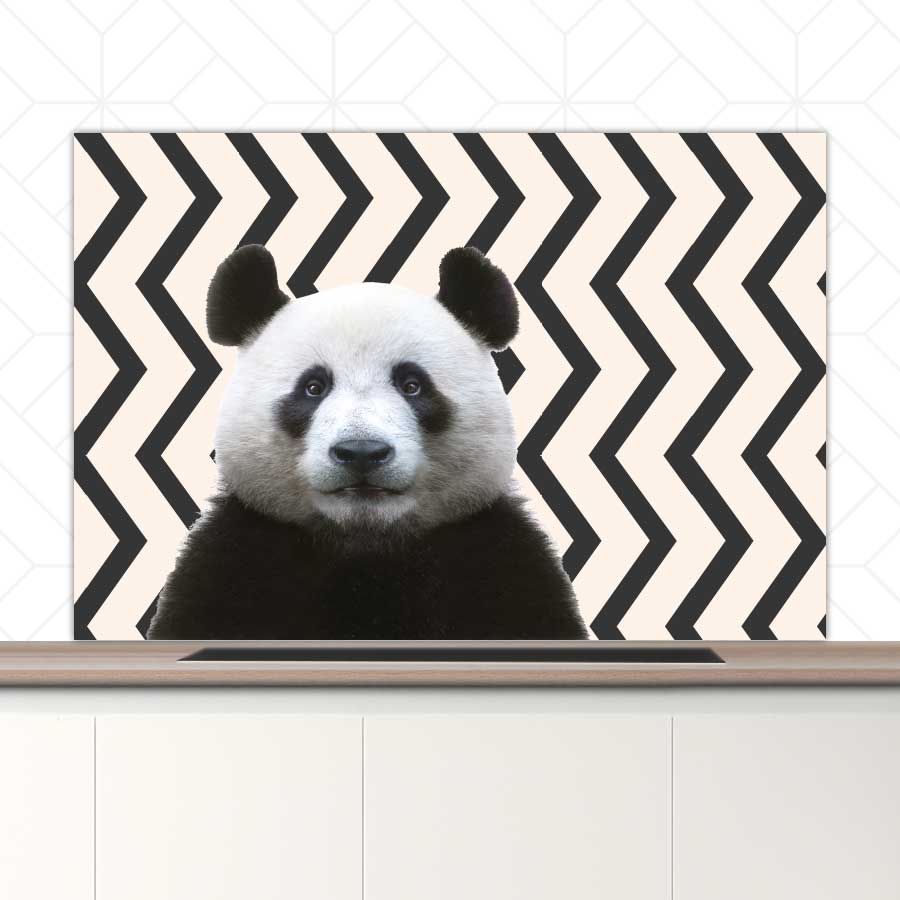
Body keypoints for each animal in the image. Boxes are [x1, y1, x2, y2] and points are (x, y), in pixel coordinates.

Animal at [147, 244, 587, 640]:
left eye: (412, 385)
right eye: (313, 387)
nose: (361, 452)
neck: (366, 546)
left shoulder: (497, 561)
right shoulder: (237, 559)